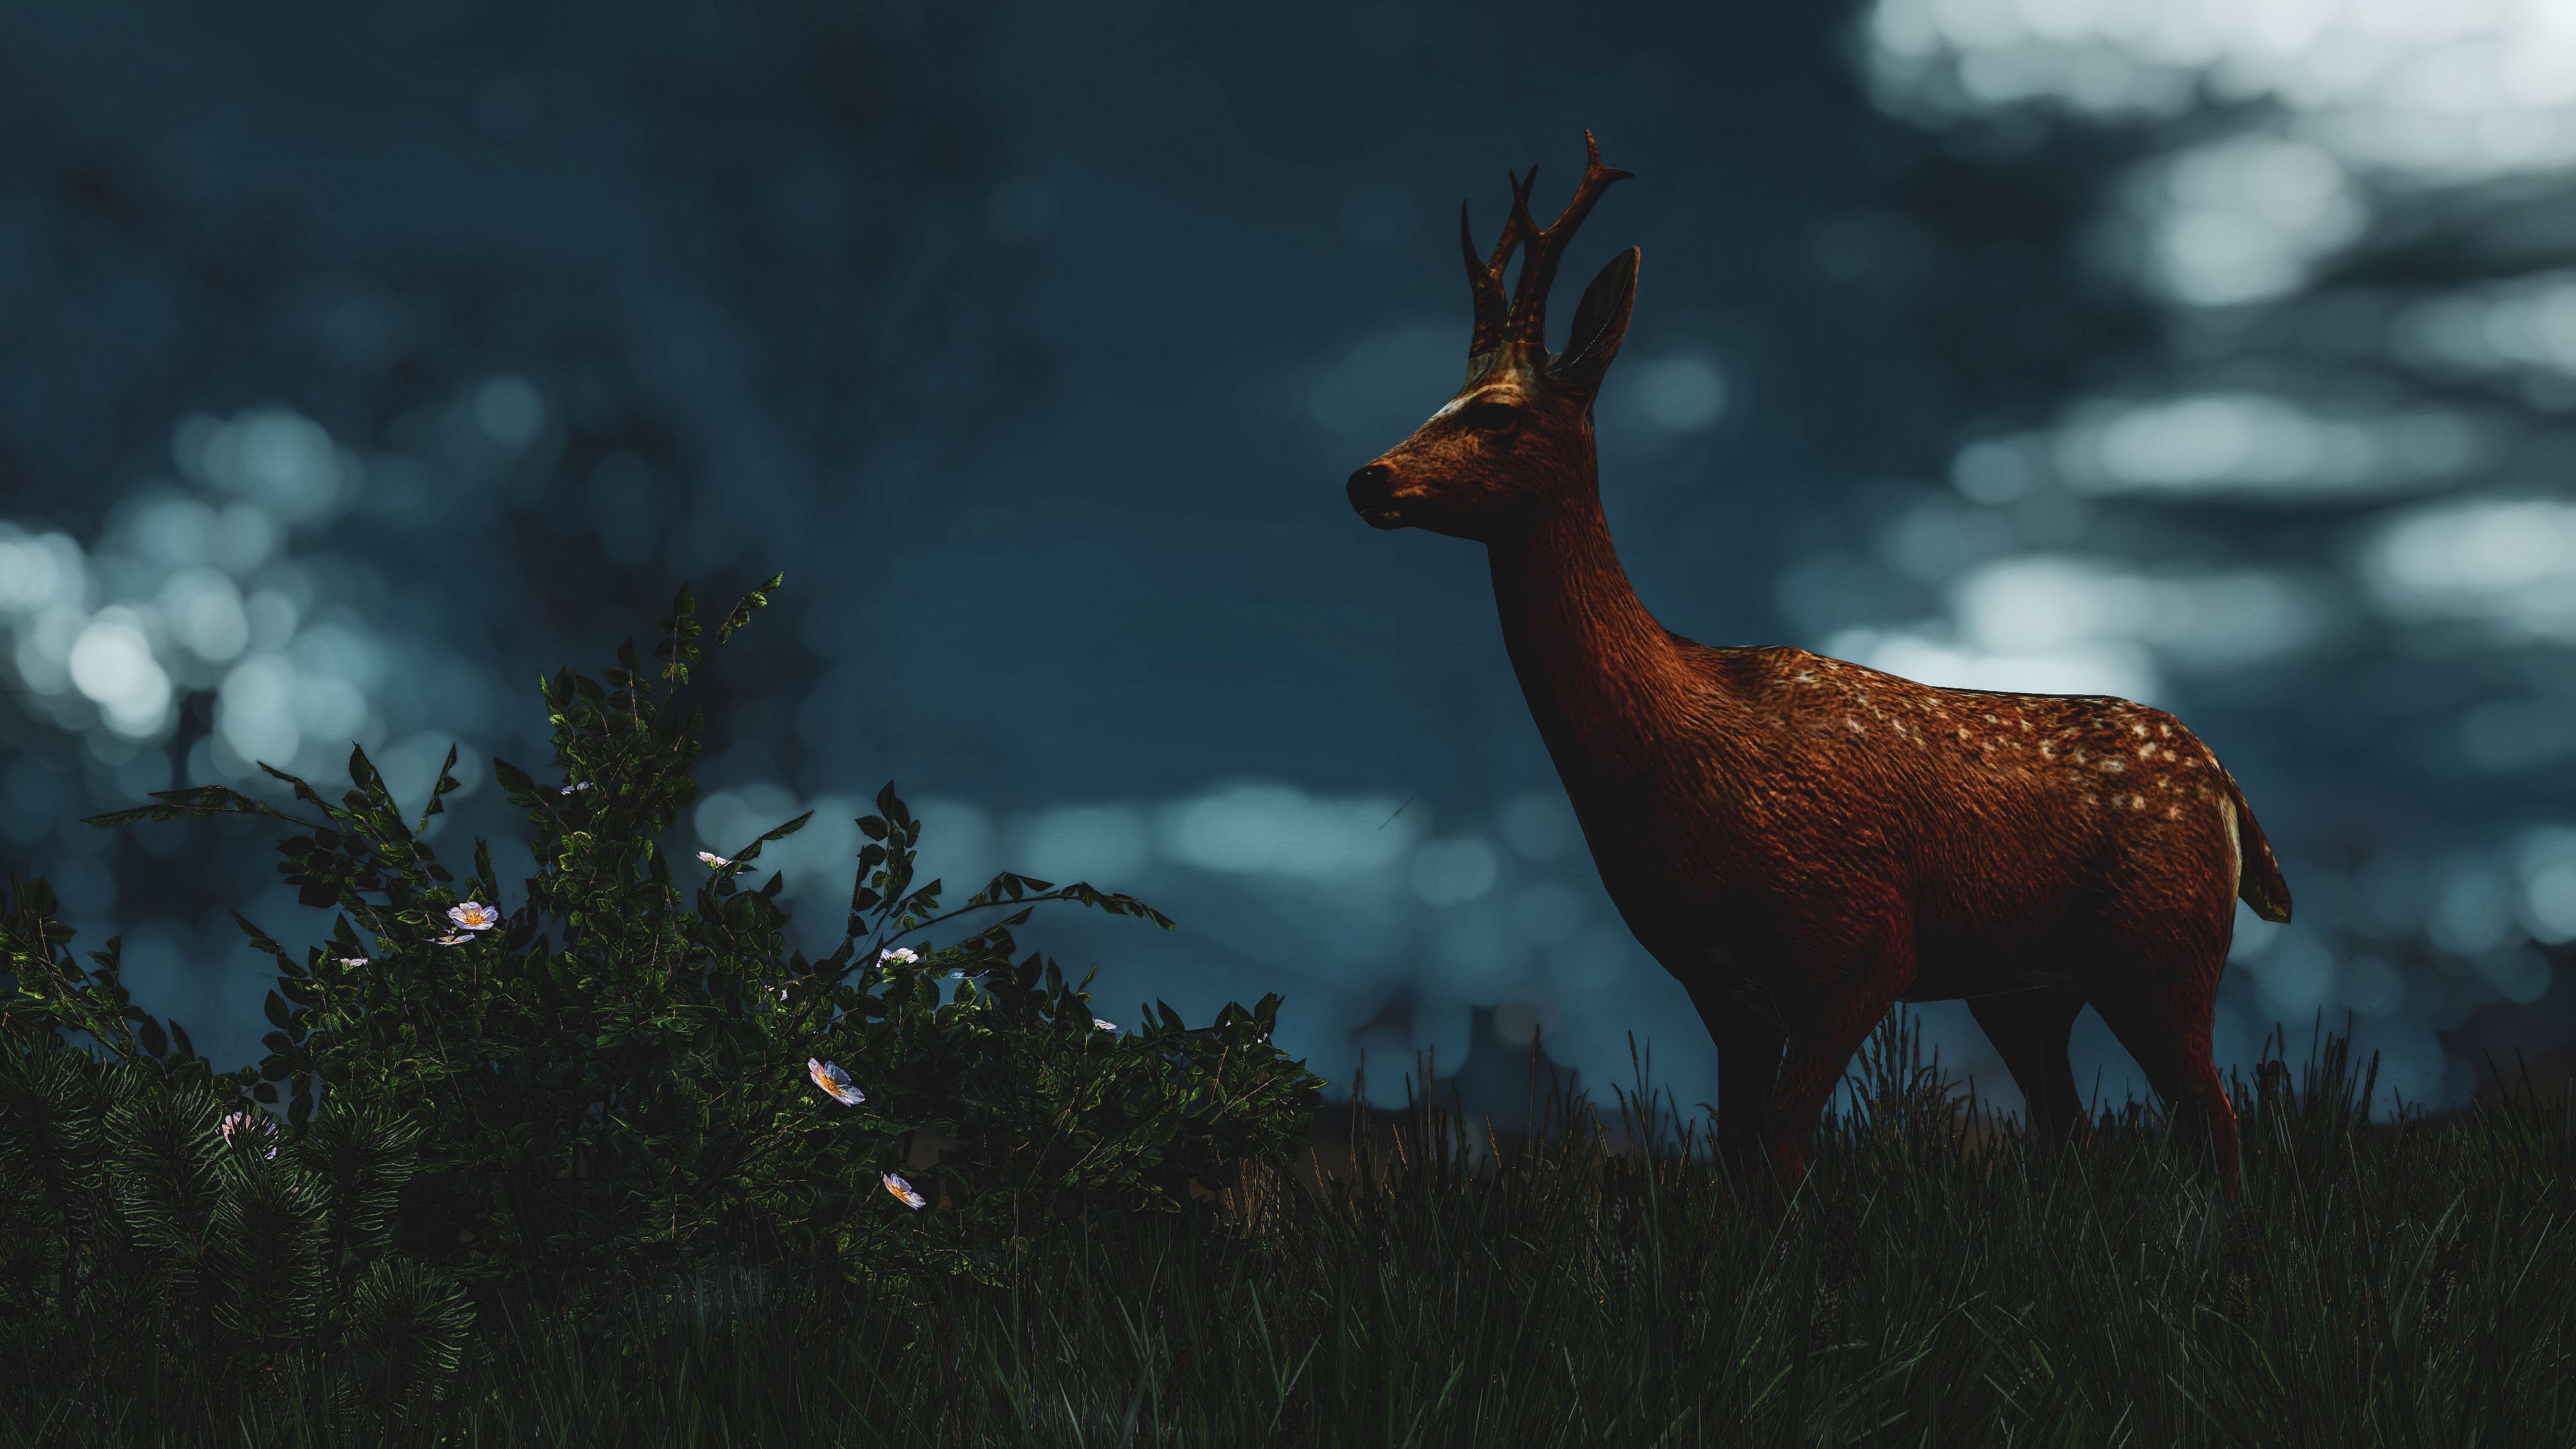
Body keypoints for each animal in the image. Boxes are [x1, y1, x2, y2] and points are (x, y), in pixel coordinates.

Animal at [1343, 132, 2293, 1198]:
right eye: (1439, 396)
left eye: (1498, 414)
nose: (1369, 479)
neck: (1671, 750)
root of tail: (2228, 788)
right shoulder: (1716, 979)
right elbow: (1738, 1154)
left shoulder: (1861, 942)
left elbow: (1787, 1149)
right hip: (2028, 987)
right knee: (2075, 1129)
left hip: (2161, 951)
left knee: (2214, 1116)